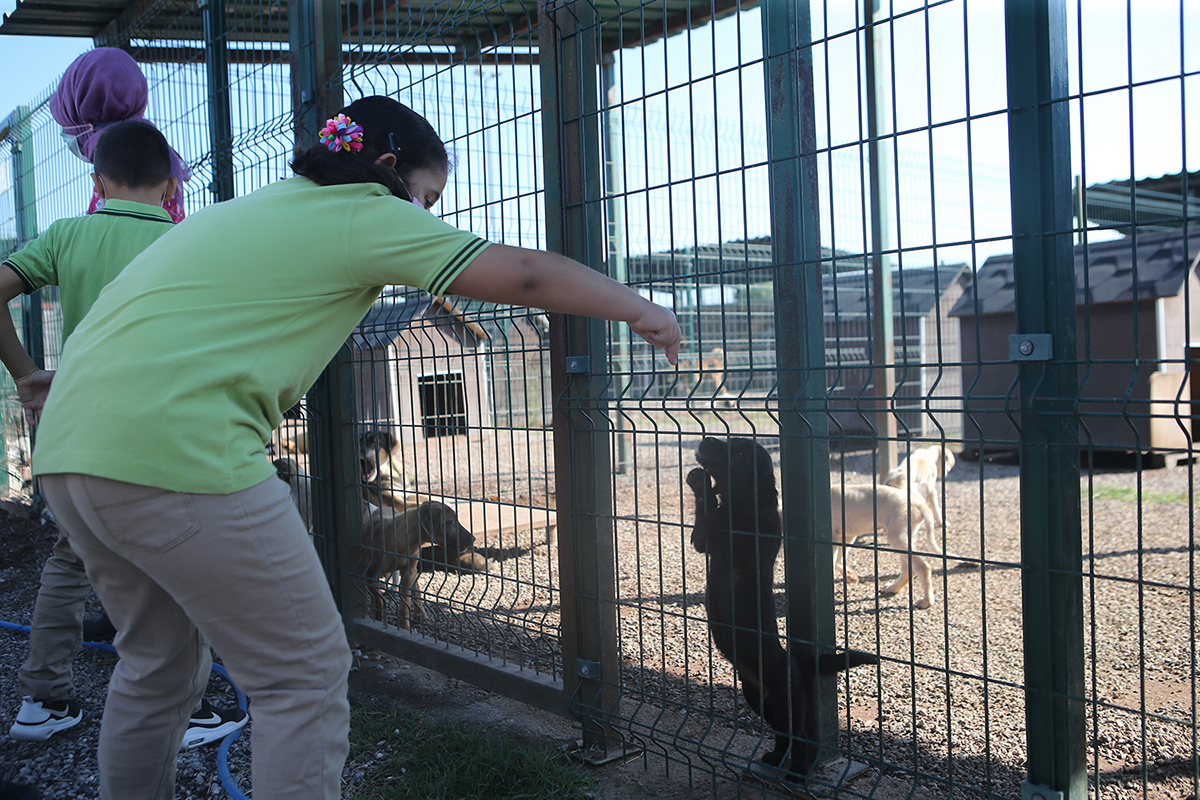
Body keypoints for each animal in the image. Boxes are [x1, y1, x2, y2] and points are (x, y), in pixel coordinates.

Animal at [362, 501, 475, 633]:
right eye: (452, 522)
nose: (473, 539)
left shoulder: (408, 572)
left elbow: (405, 604)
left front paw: (405, 628)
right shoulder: (370, 575)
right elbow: (378, 600)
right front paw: (378, 618)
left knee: (416, 587)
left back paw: (420, 613)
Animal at [691, 438, 878, 782]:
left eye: (739, 452)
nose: (707, 440)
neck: (747, 505)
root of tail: (797, 664)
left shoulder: (742, 543)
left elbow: (715, 519)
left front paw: (706, 489)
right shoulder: (706, 544)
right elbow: (706, 522)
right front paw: (700, 483)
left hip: (786, 699)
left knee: (801, 736)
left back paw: (798, 773)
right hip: (758, 697)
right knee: (783, 735)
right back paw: (774, 760)